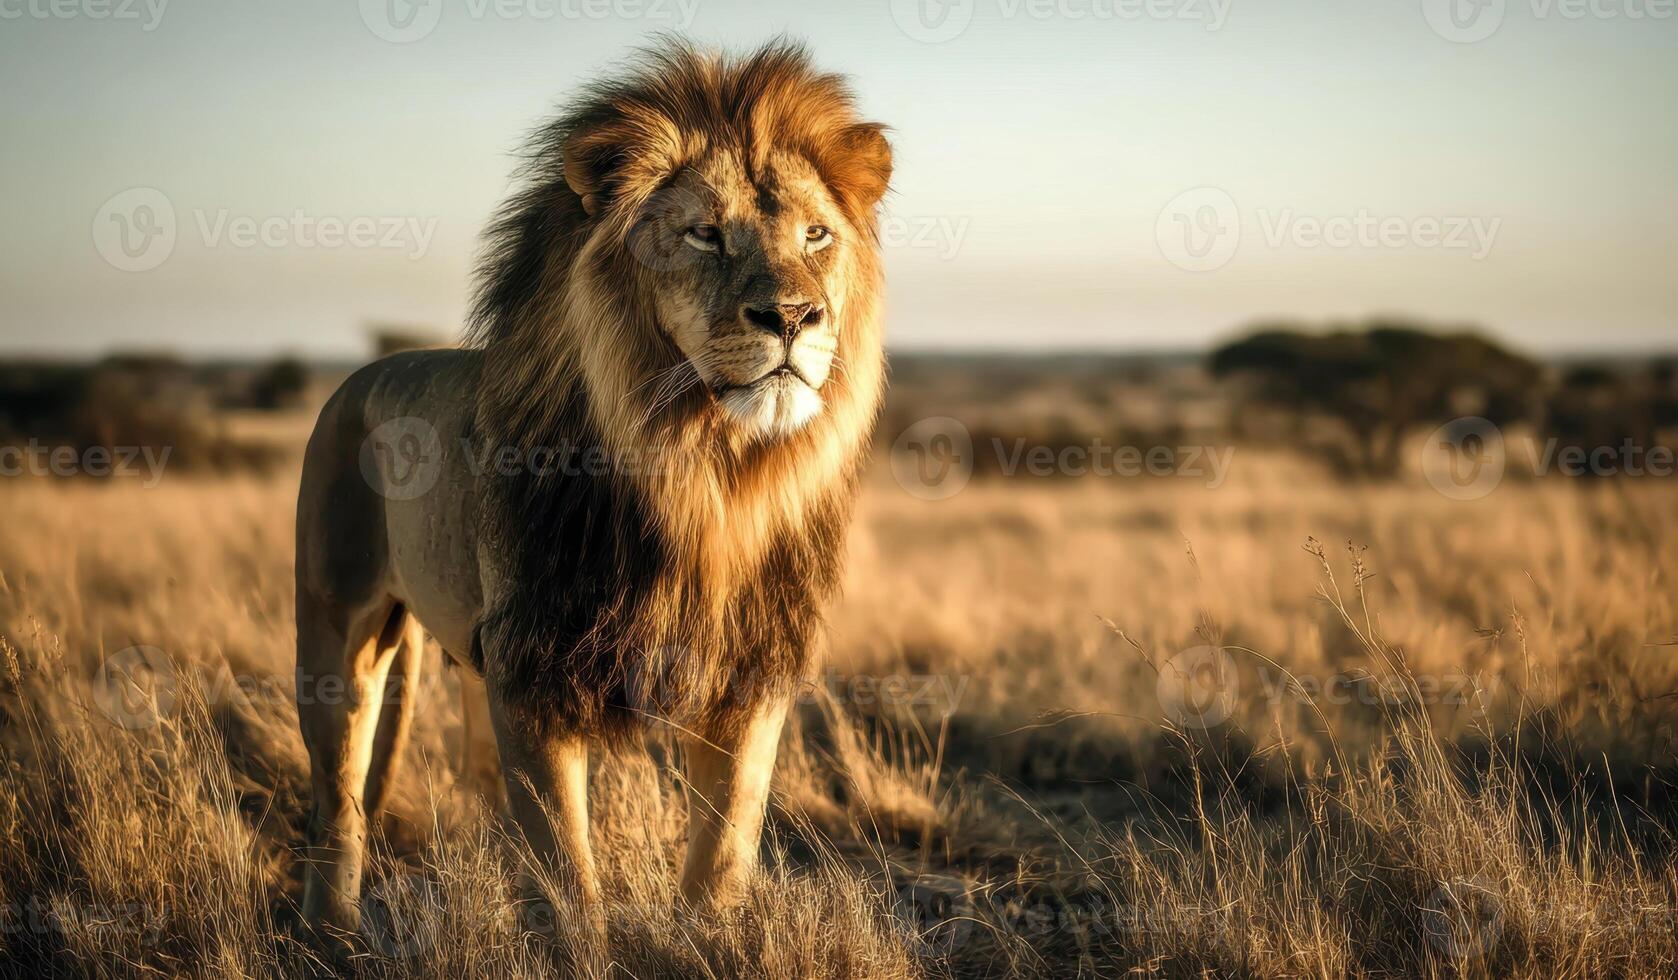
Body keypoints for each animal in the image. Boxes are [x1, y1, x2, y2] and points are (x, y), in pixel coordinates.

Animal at [294, 38, 891, 940]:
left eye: (816, 234)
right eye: (705, 234)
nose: (794, 318)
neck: (705, 474)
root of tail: (364, 372)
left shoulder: (749, 675)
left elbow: (723, 857)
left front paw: (708, 946)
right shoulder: (532, 671)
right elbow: (568, 884)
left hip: (470, 663)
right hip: (337, 639)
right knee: (340, 801)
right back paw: (331, 931)